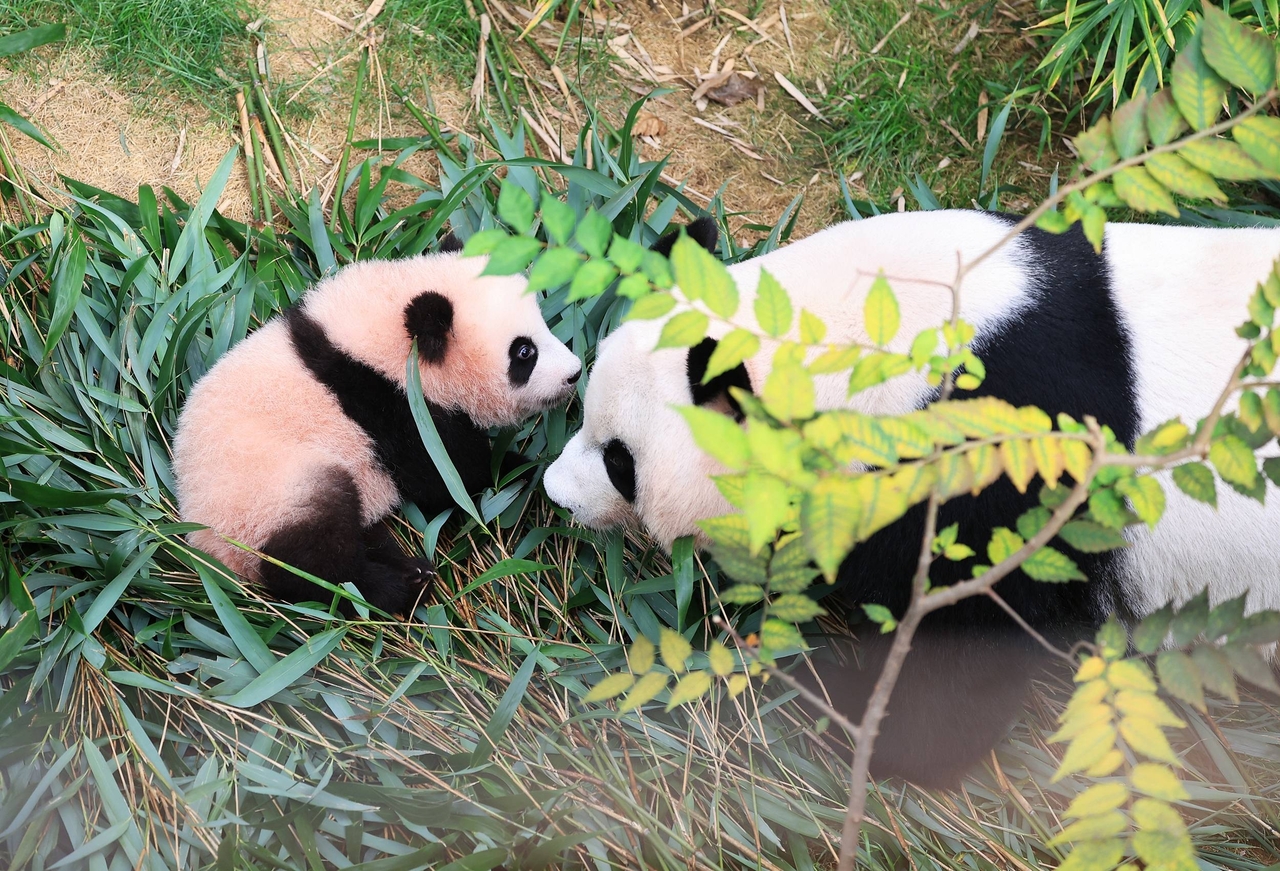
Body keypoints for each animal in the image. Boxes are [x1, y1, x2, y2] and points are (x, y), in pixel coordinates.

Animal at [173, 238, 582, 616]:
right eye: (524, 352)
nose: (575, 373)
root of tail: (206, 542)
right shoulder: (386, 404)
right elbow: (448, 475)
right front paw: (530, 471)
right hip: (270, 491)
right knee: (314, 559)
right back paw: (400, 585)